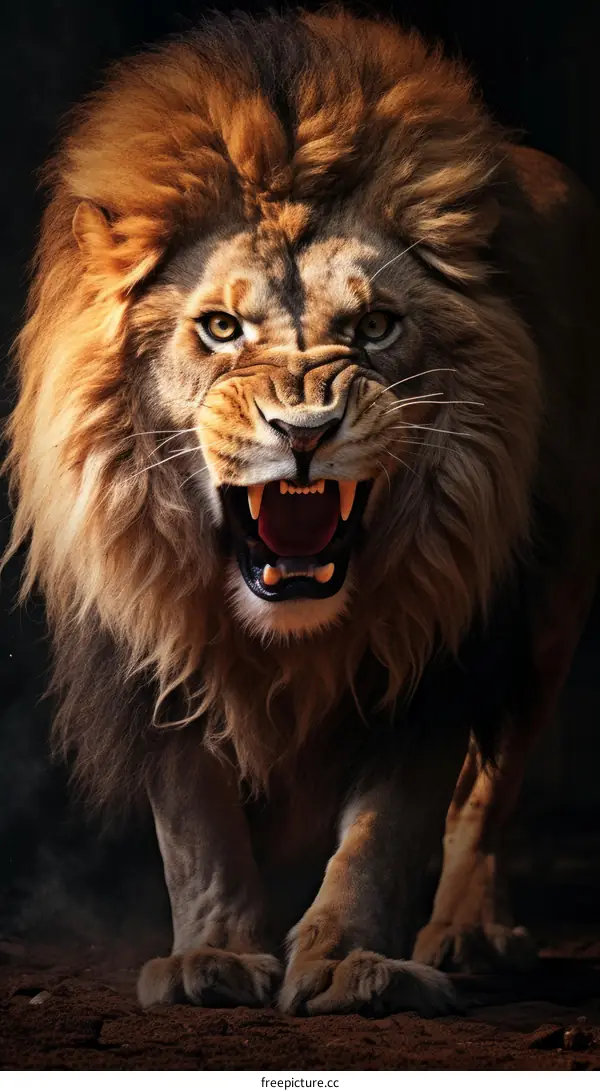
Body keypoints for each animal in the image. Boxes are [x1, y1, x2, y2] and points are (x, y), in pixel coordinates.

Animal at [5, 7, 600, 1015]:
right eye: (220, 328)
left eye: (374, 327)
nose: (306, 431)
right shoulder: (154, 629)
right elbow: (195, 821)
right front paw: (213, 955)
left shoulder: (439, 641)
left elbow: (388, 828)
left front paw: (350, 960)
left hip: (548, 609)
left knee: (490, 787)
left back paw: (468, 931)